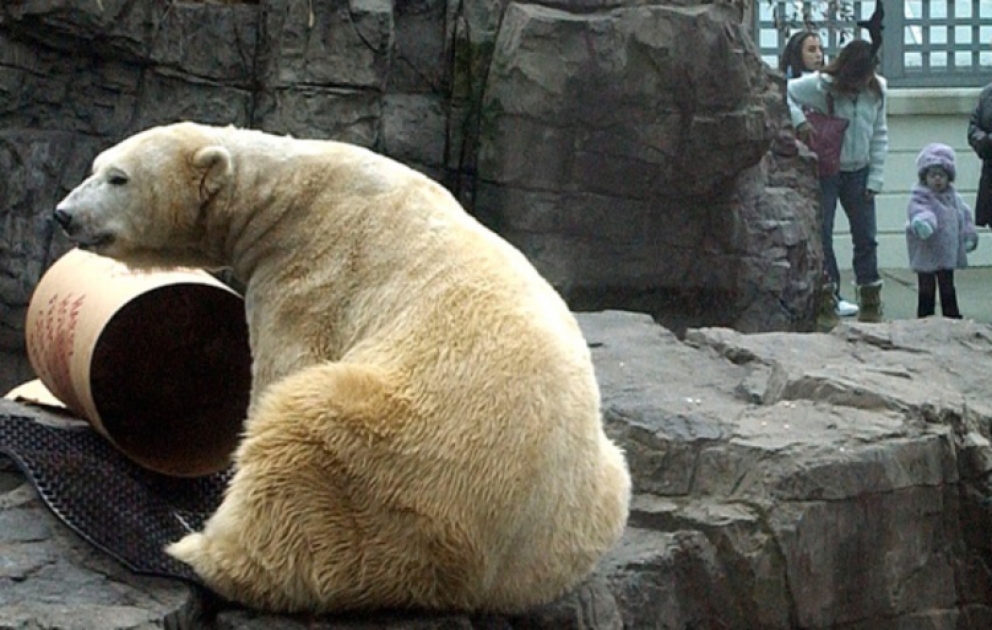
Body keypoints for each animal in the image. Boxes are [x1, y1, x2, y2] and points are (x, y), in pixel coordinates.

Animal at [52, 121, 631, 614]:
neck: (283, 195)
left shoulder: (309, 274)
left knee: (300, 449)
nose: (63, 214)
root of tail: (489, 575)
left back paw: (198, 548)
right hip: (591, 501)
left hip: (395, 451)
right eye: (96, 165)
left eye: (118, 176)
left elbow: (281, 368)